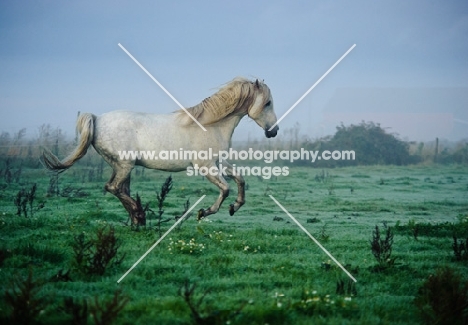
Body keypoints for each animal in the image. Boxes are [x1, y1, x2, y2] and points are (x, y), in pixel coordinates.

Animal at [42, 78, 278, 225]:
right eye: (267, 103)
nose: (273, 131)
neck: (211, 125)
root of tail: (97, 119)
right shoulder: (205, 166)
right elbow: (226, 188)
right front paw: (203, 212)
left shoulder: (219, 162)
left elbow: (240, 180)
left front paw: (234, 207)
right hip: (125, 164)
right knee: (113, 187)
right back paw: (140, 214)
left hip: (122, 166)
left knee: (120, 189)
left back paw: (137, 219)